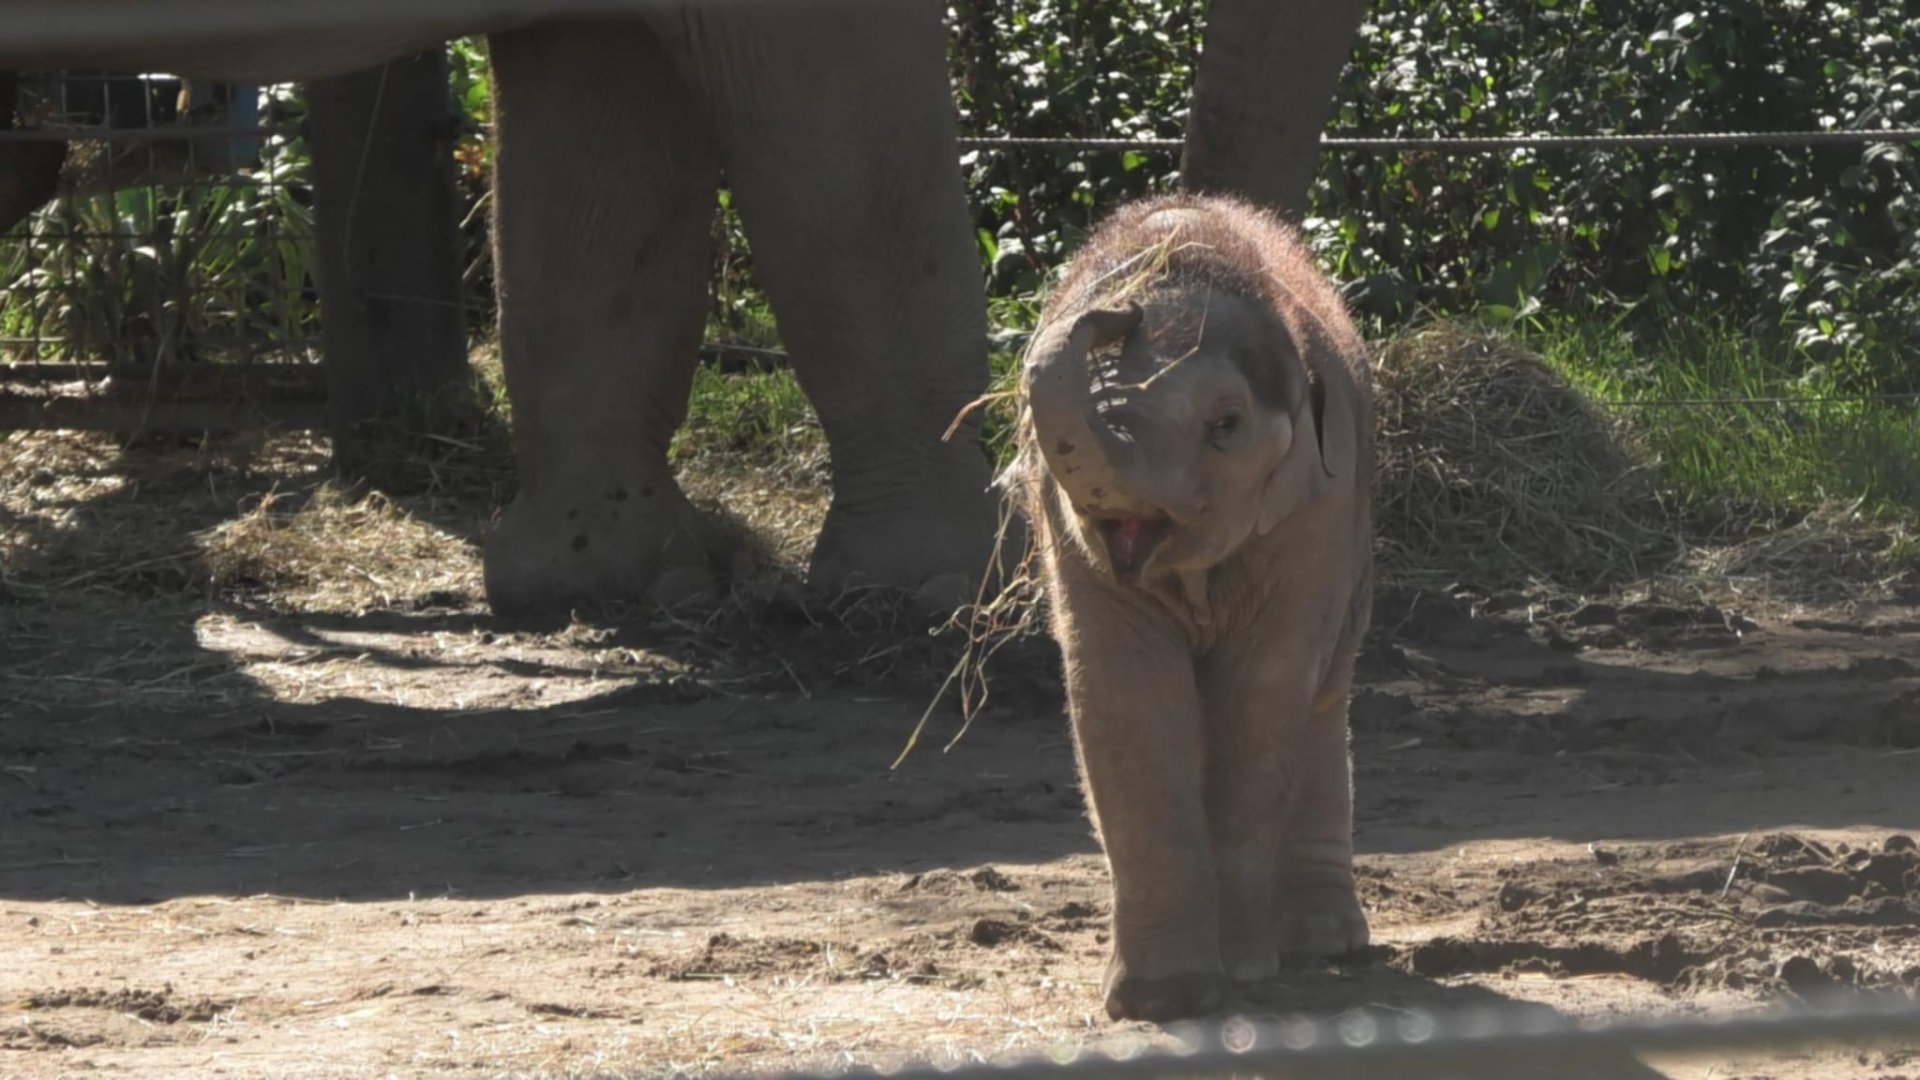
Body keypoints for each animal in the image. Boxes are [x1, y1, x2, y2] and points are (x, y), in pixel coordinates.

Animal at [1011, 193, 1375, 1022]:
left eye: (1225, 425)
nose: (1115, 309)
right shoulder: (1069, 531)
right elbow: (1121, 696)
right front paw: (1164, 1000)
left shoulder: (1318, 512)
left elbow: (1261, 690)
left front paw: (1244, 974)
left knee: (1322, 700)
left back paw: (1325, 947)